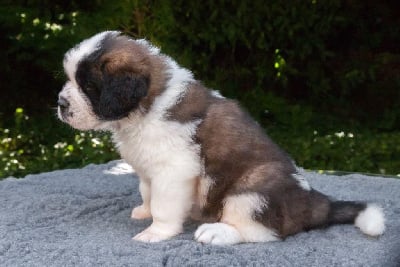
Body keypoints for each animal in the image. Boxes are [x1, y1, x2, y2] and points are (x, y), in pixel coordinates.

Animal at [57, 30, 384, 245]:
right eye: (71, 79)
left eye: (89, 86)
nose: (60, 103)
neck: (144, 106)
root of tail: (314, 202)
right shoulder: (149, 167)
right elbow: (147, 192)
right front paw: (144, 212)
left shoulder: (174, 171)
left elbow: (164, 204)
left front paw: (156, 232)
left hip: (253, 190)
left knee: (262, 232)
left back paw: (218, 232)